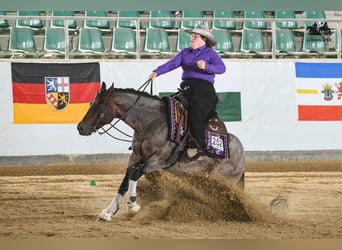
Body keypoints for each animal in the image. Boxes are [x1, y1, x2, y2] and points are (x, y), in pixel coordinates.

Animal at [77, 81, 244, 222]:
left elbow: (135, 175)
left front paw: (133, 205)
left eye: (100, 106)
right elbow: (125, 181)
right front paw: (108, 213)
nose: (81, 127)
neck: (153, 124)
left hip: (222, 181)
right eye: (91, 103)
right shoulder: (135, 157)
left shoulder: (156, 162)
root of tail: (241, 153)